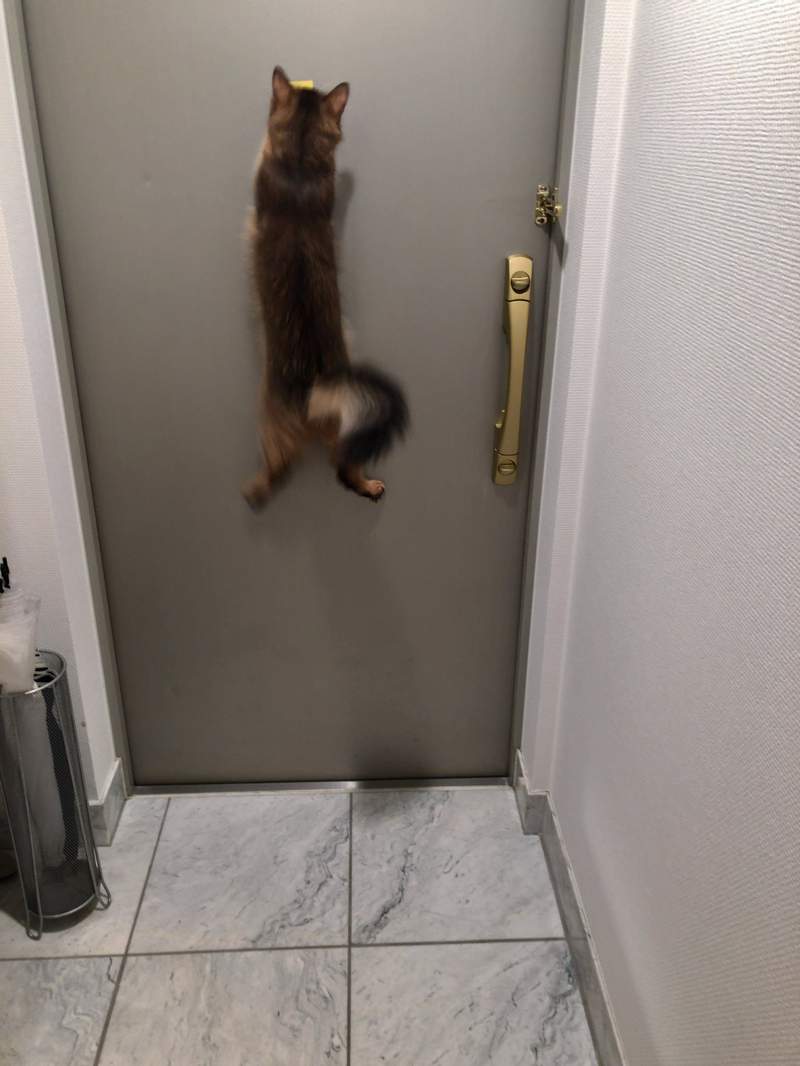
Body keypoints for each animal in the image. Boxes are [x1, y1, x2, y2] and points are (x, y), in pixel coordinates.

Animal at [243, 67, 408, 508]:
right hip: (346, 427)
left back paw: (254, 491)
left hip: (269, 414)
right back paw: (371, 487)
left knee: (281, 469)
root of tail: (318, 384)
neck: (300, 163)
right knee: (345, 467)